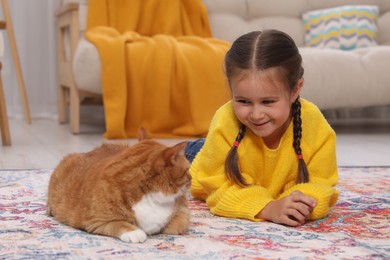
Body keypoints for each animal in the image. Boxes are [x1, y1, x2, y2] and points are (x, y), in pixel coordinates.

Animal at [46, 127, 191, 242]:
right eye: (187, 170)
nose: (191, 179)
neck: (148, 195)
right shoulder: (96, 221)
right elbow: (119, 223)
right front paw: (135, 232)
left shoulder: (182, 210)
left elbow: (176, 225)